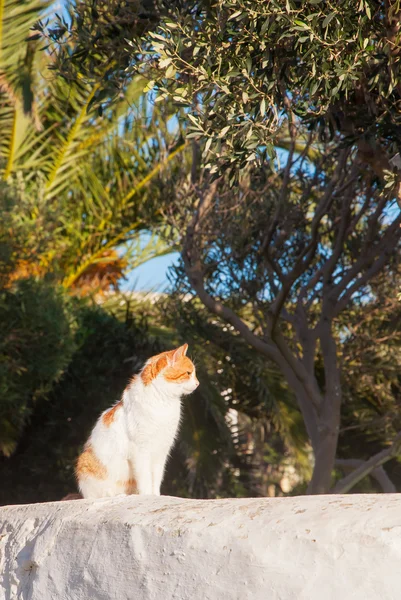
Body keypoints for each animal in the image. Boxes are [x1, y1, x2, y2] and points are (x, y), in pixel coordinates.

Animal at [74, 344, 197, 500]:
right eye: (188, 373)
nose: (198, 383)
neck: (163, 402)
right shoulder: (141, 450)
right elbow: (145, 478)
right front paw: (147, 495)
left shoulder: (161, 450)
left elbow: (156, 478)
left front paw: (156, 495)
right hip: (85, 462)